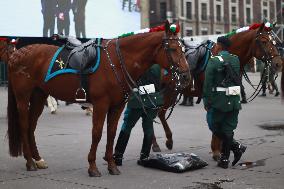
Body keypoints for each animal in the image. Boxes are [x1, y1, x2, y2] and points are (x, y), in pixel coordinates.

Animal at [5, 22, 191, 177]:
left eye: (182, 49)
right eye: (172, 49)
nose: (186, 76)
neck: (116, 62)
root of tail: (16, 55)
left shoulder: (117, 106)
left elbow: (112, 133)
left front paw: (111, 165)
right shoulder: (101, 104)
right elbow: (97, 133)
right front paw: (92, 167)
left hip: (39, 95)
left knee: (31, 126)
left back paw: (37, 159)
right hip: (23, 97)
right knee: (24, 125)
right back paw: (30, 162)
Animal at [154, 22, 282, 154]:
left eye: (274, 42)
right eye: (264, 41)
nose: (278, 63)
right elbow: (216, 122)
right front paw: (217, 149)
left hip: (170, 93)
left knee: (160, 113)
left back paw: (168, 140)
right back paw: (156, 143)